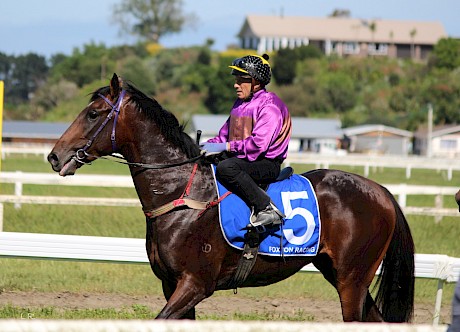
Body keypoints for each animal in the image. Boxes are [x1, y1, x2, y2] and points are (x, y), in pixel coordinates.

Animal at [48, 72, 416, 322]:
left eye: (93, 114)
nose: (54, 156)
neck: (182, 195)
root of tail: (382, 192)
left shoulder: (195, 284)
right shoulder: (172, 284)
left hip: (351, 280)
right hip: (343, 275)